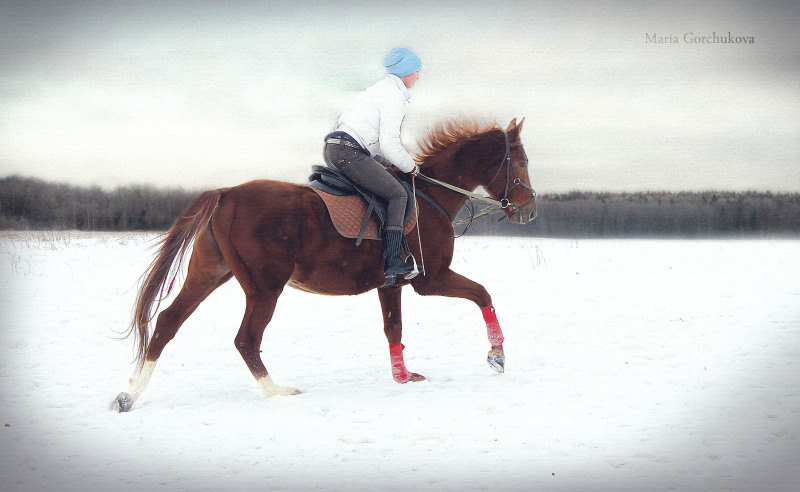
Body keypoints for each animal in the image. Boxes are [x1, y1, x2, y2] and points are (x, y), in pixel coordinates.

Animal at [112, 116, 536, 412]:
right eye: (521, 161)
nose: (529, 211)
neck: (431, 198)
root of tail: (225, 192)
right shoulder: (431, 280)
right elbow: (483, 294)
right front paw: (497, 355)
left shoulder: (391, 285)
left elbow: (393, 329)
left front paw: (403, 377)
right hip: (264, 287)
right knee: (246, 339)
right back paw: (277, 391)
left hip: (210, 273)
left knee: (168, 322)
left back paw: (130, 394)